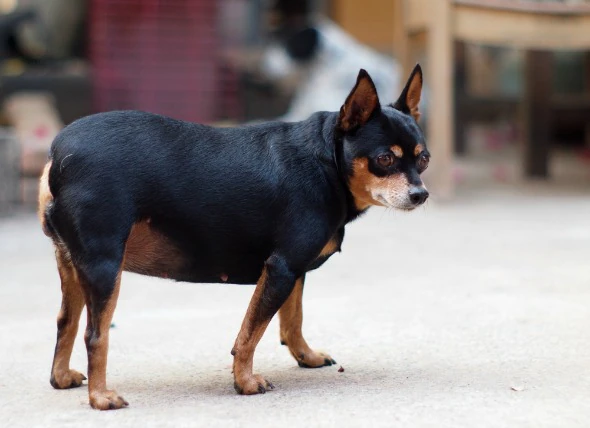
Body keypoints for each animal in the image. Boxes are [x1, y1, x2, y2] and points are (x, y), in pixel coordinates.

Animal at [40, 65, 430, 410]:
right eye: (384, 159)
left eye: (423, 160)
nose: (420, 194)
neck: (328, 164)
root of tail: (58, 154)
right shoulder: (282, 269)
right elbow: (250, 333)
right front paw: (245, 382)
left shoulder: (292, 270)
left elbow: (292, 320)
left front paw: (306, 356)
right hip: (105, 267)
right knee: (95, 335)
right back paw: (101, 398)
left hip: (72, 264)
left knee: (65, 322)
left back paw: (61, 378)